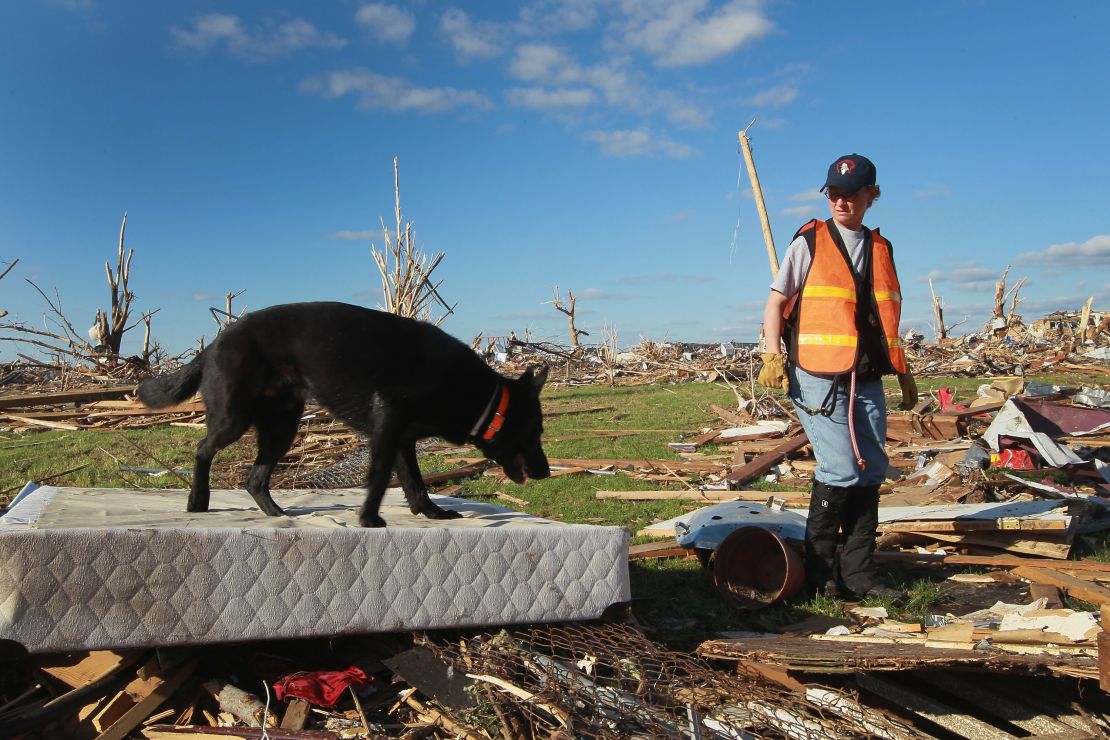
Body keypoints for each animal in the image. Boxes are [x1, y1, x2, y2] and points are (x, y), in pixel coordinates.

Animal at [138, 301, 550, 525]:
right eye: (536, 432)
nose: (546, 472)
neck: (482, 396)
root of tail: (216, 341)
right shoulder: (388, 426)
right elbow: (381, 477)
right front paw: (369, 519)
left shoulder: (401, 439)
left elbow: (414, 483)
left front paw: (432, 513)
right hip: (233, 419)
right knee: (203, 450)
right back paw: (198, 501)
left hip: (282, 428)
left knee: (255, 479)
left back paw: (276, 514)